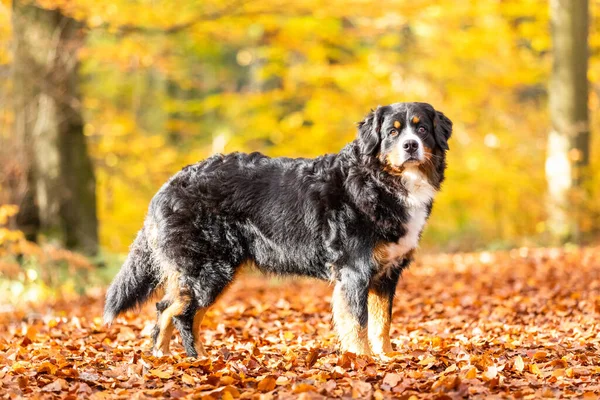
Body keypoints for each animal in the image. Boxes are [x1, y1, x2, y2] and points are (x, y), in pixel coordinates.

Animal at [104, 101, 450, 358]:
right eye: (392, 132)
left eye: (421, 128)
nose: (410, 145)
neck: (380, 181)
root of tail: (168, 185)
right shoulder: (355, 270)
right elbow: (358, 323)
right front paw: (362, 361)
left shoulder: (386, 274)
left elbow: (382, 324)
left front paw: (387, 359)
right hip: (210, 269)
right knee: (180, 314)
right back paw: (196, 359)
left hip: (207, 271)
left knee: (168, 308)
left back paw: (163, 357)